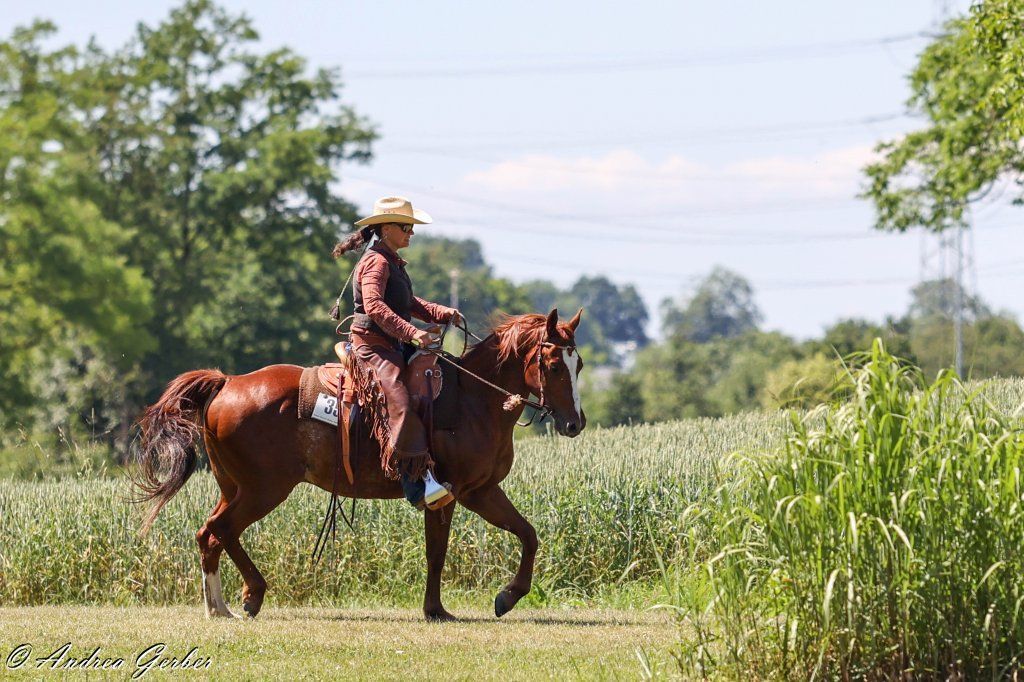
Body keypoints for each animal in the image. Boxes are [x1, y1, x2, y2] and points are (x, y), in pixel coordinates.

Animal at [131, 308, 586, 621]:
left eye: (578, 364)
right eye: (552, 364)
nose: (575, 423)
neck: (474, 400)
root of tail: (227, 383)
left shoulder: (482, 491)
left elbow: (528, 534)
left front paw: (507, 596)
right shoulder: (450, 493)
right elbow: (437, 552)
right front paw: (436, 609)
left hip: (235, 487)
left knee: (209, 534)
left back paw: (220, 606)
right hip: (265, 489)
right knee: (221, 530)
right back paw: (249, 596)